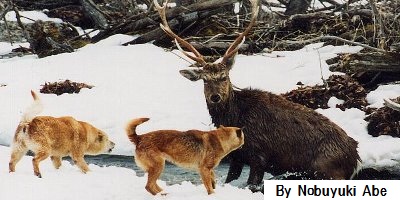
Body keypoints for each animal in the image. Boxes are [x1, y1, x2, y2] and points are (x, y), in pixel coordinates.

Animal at [152, 0, 360, 191]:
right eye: (204, 80)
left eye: (224, 76)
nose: (215, 97)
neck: (236, 119)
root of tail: (356, 157)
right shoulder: (236, 157)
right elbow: (230, 180)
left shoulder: (259, 154)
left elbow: (252, 183)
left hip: (326, 167)